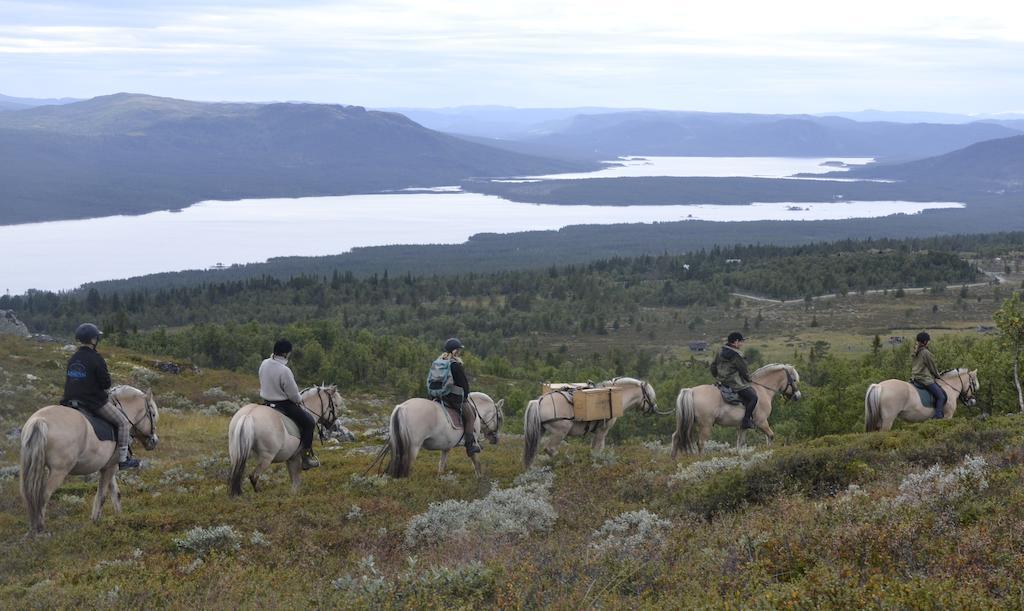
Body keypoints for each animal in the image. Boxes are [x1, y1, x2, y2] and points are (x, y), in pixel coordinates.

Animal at [19, 386, 158, 532]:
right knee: (44, 495)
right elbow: (102, 496)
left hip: (30, 466)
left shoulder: (108, 467)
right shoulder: (110, 467)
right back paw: (40, 528)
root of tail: (40, 420)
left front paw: (120, 517)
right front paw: (95, 521)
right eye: (153, 414)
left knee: (28, 494)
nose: (154, 441)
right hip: (58, 471)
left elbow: (116, 493)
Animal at [524, 376, 659, 466]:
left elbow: (595, 448)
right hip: (560, 432)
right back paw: (566, 461)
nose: (654, 408)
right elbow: (597, 449)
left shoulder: (599, 432)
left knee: (535, 449)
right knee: (550, 449)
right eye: (650, 394)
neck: (616, 396)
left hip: (540, 430)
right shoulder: (602, 431)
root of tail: (539, 401)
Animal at [667, 362, 802, 458]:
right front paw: (769, 451)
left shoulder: (742, 427)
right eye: (794, 379)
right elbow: (771, 436)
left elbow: (740, 444)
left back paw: (673, 461)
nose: (798, 396)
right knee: (700, 443)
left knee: (676, 437)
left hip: (687, 422)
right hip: (705, 425)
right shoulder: (762, 422)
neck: (762, 389)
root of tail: (691, 391)